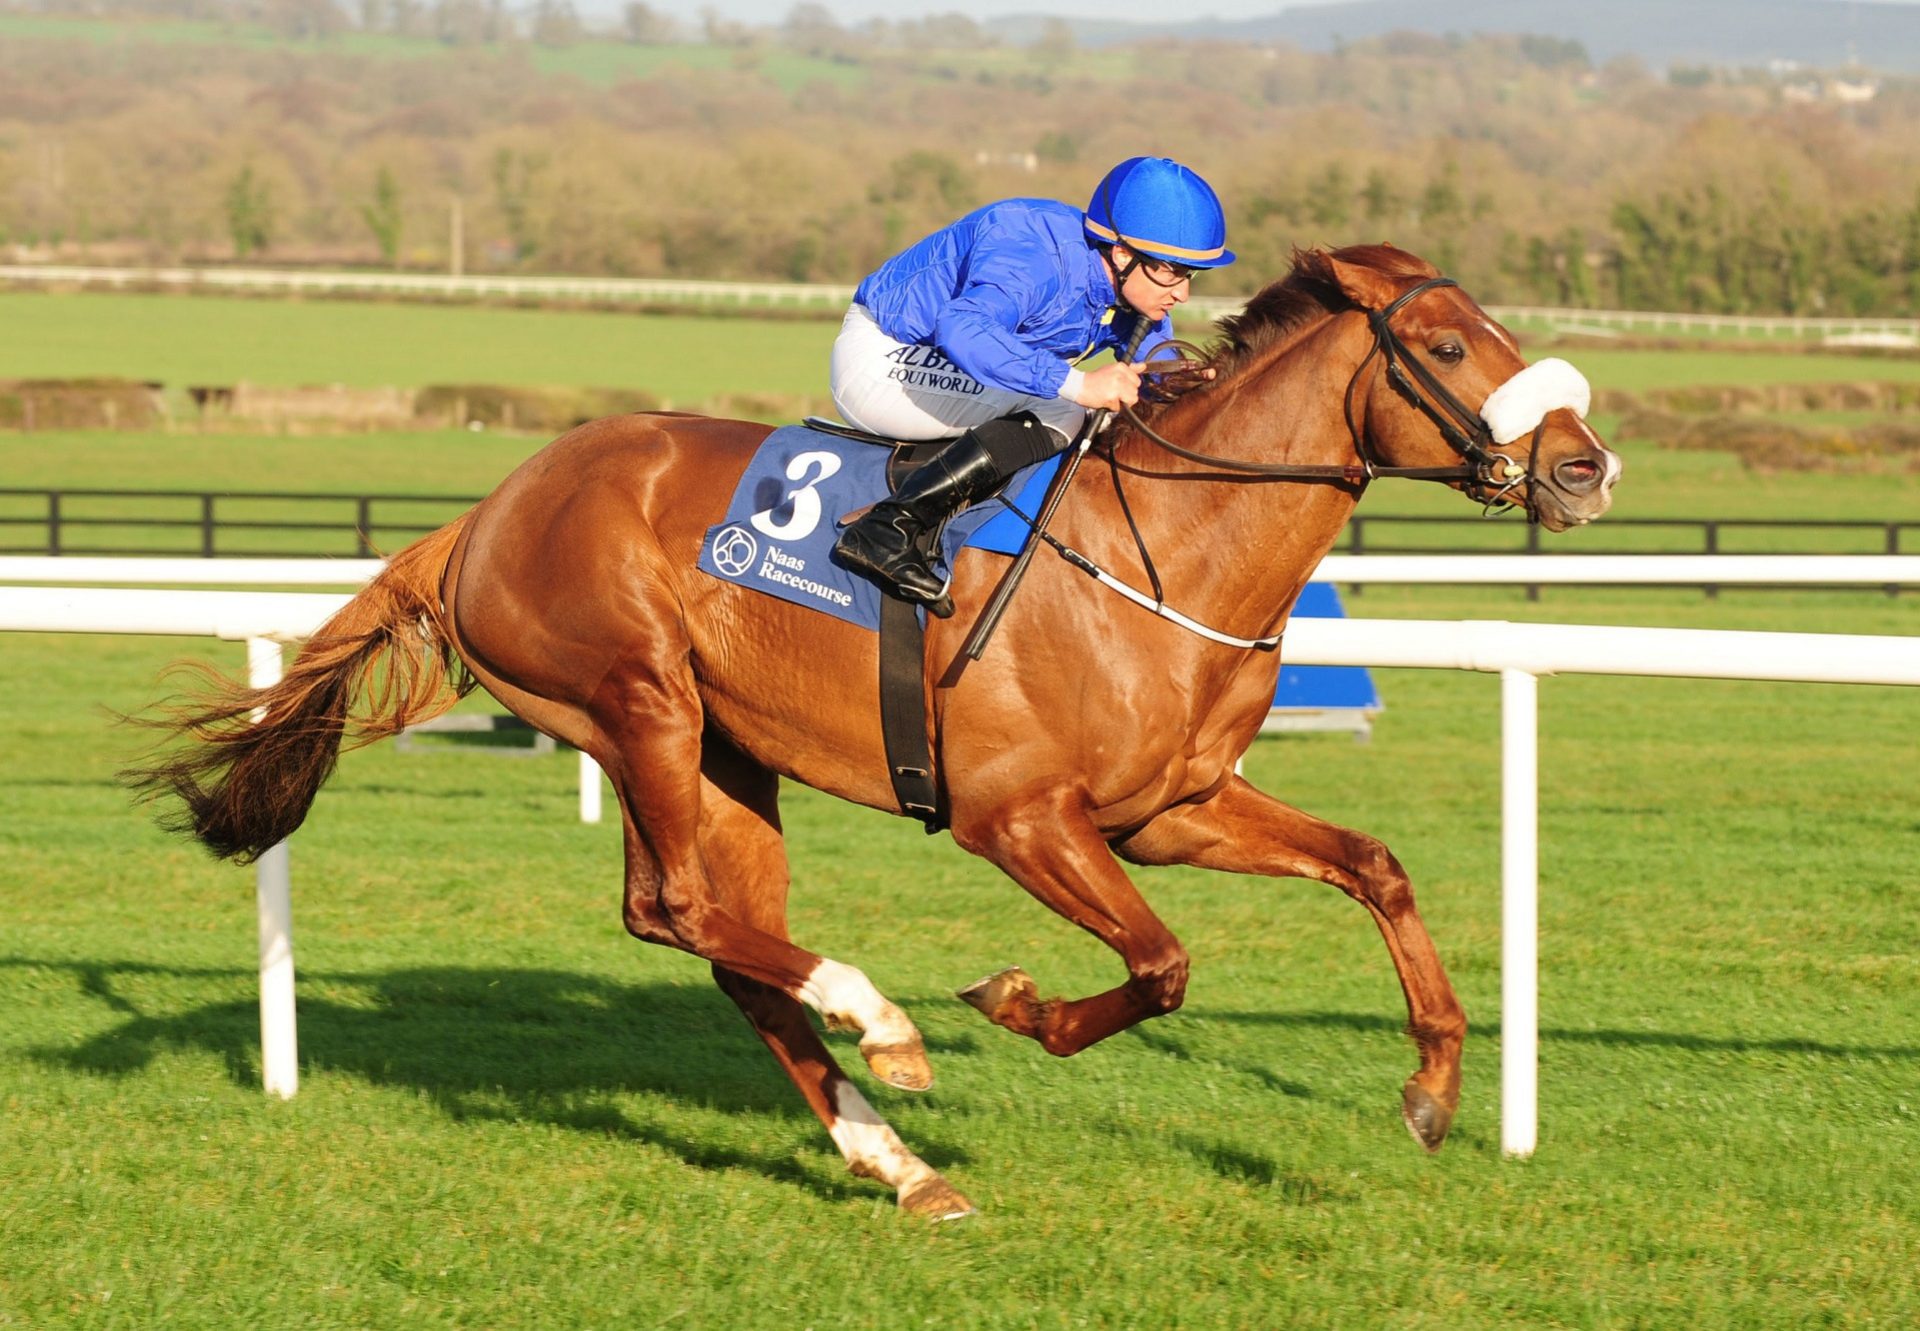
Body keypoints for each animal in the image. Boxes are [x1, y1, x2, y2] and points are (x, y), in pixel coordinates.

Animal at [127, 243, 1612, 1221]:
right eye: (1452, 348)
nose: (1586, 465)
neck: (1170, 546)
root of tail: (486, 512)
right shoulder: (1020, 818)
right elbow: (1163, 964)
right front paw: (1011, 999)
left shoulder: (1168, 810)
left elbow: (1374, 866)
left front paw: (1433, 1086)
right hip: (639, 703)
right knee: (675, 908)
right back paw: (883, 1025)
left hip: (727, 755)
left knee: (728, 947)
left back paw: (894, 1155)